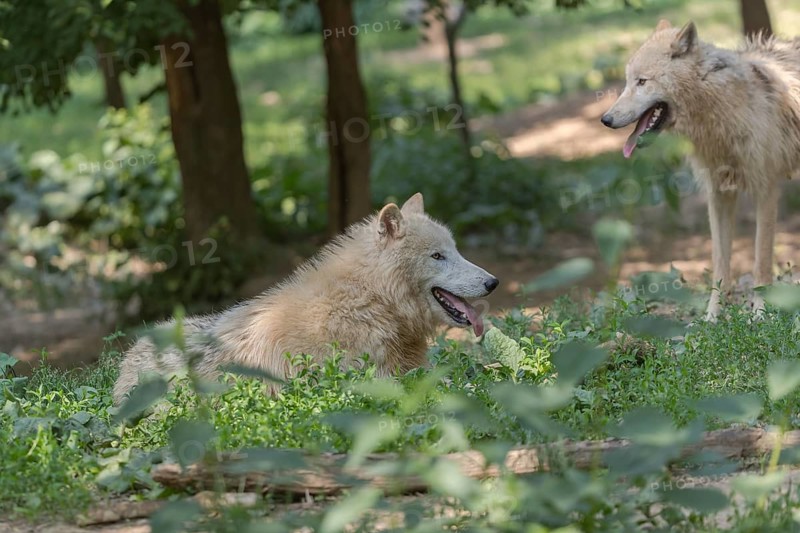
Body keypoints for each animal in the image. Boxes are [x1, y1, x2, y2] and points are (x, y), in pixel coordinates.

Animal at [113, 193, 499, 403]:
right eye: (437, 256)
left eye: (455, 250)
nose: (493, 282)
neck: (369, 301)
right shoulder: (367, 381)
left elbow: (467, 377)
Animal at [601, 19, 800, 320]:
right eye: (626, 82)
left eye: (642, 81)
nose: (605, 119)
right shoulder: (718, 196)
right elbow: (719, 265)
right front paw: (712, 317)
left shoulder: (765, 190)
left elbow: (761, 264)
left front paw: (760, 314)